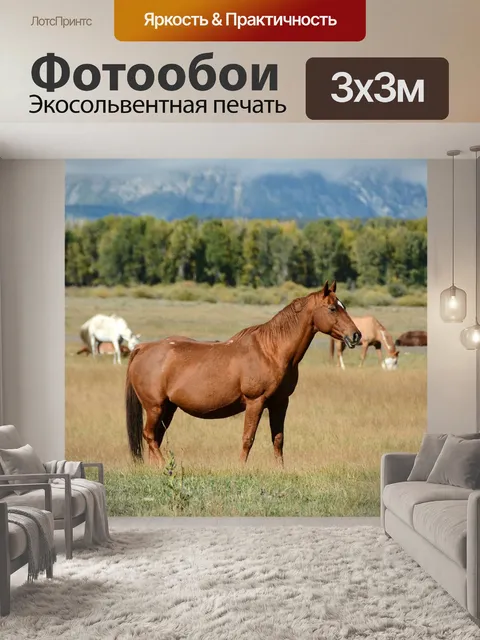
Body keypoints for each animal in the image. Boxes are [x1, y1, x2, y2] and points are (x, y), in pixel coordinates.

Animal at [125, 281, 362, 467]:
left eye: (343, 306)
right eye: (332, 308)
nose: (356, 335)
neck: (270, 351)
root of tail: (143, 348)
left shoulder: (280, 403)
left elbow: (278, 439)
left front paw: (280, 470)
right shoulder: (255, 402)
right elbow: (248, 438)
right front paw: (241, 468)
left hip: (168, 408)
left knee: (156, 437)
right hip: (154, 407)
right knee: (149, 436)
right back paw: (165, 466)